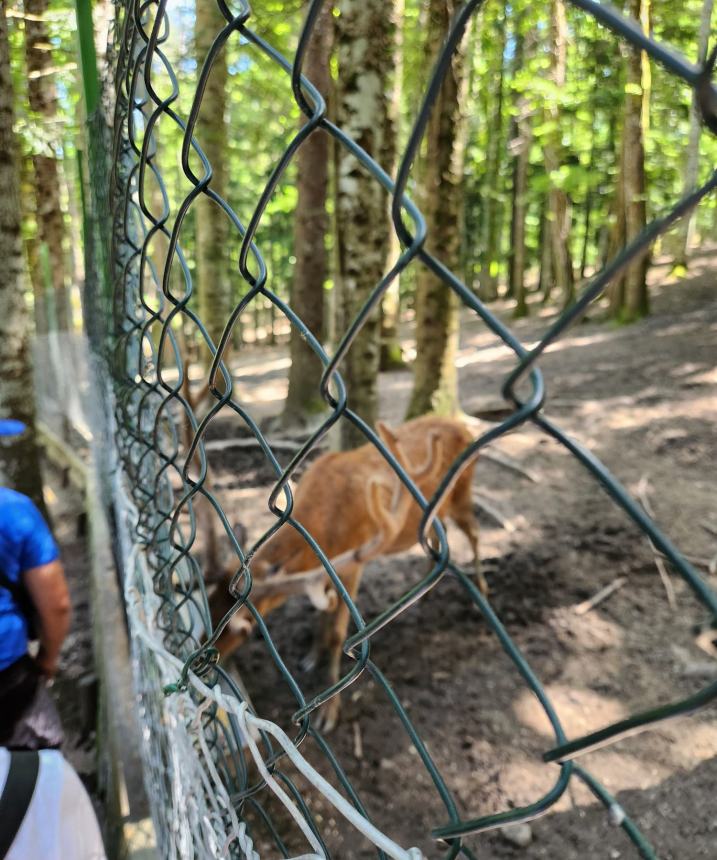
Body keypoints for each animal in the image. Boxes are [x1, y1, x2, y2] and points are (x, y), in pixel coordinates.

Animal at [207, 414, 482, 728]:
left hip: (463, 490)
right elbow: (321, 615)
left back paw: (481, 595)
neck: (326, 530)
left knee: (473, 533)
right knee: (439, 533)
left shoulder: (354, 566)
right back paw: (424, 593)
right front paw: (311, 656)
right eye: (210, 602)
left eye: (247, 629)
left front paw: (328, 712)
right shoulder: (325, 570)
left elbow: (339, 633)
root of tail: (463, 426)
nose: (205, 655)